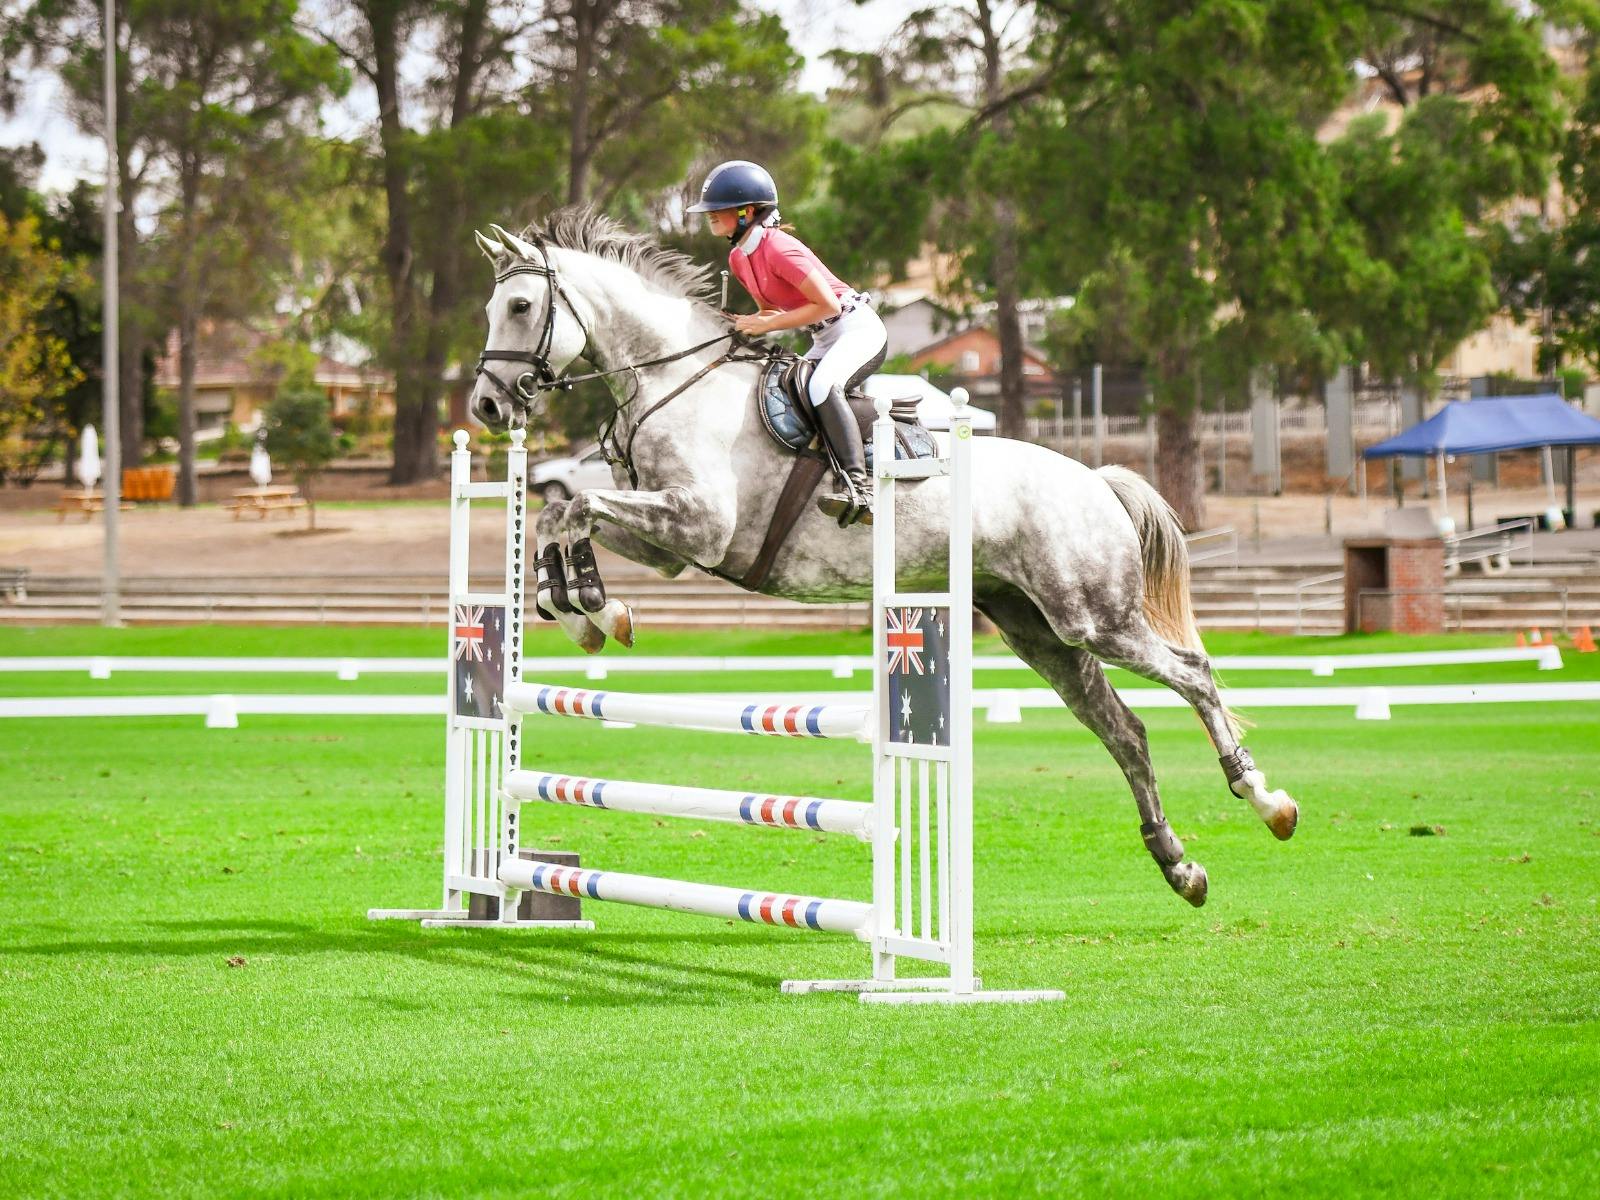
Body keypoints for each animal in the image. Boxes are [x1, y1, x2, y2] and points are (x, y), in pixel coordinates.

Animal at [464, 209, 1298, 907]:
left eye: (521, 307)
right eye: (492, 307)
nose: (487, 407)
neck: (674, 382)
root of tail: (1094, 478)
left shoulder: (699, 525)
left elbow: (576, 506)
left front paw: (590, 611)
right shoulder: (670, 543)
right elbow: (560, 515)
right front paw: (584, 610)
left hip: (1095, 616)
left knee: (1193, 674)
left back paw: (1267, 801)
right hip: (1039, 630)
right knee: (1124, 729)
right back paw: (1179, 865)